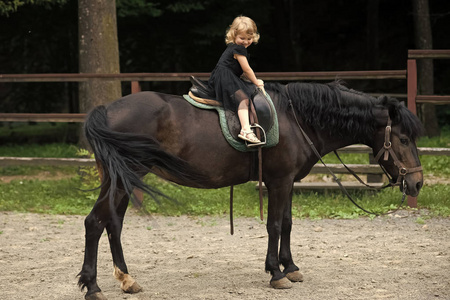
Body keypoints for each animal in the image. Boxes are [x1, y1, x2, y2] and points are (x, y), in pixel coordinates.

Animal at [76, 81, 422, 298]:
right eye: (404, 139)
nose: (417, 182)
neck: (297, 120)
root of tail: (105, 110)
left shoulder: (288, 181)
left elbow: (288, 223)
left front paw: (291, 267)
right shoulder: (278, 181)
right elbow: (274, 225)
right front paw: (276, 274)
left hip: (121, 179)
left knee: (113, 224)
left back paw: (127, 279)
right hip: (126, 176)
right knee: (94, 222)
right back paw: (93, 287)